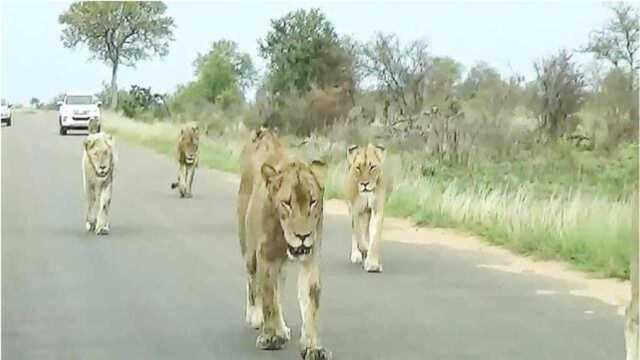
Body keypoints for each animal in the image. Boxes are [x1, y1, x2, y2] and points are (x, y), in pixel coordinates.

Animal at [238, 129, 332, 360]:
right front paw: (271, 337)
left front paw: (313, 347)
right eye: (287, 203)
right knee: (253, 282)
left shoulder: (310, 258)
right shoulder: (266, 256)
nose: (303, 235)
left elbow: (310, 301)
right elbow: (269, 298)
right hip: (250, 250)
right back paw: (256, 317)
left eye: (313, 202)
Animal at [344, 143, 390, 272]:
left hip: (367, 212)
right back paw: (357, 254)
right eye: (358, 167)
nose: (364, 184)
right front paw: (363, 248)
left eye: (372, 167)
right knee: (355, 231)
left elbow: (374, 237)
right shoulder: (356, 210)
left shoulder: (377, 209)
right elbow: (358, 232)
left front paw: (373, 264)